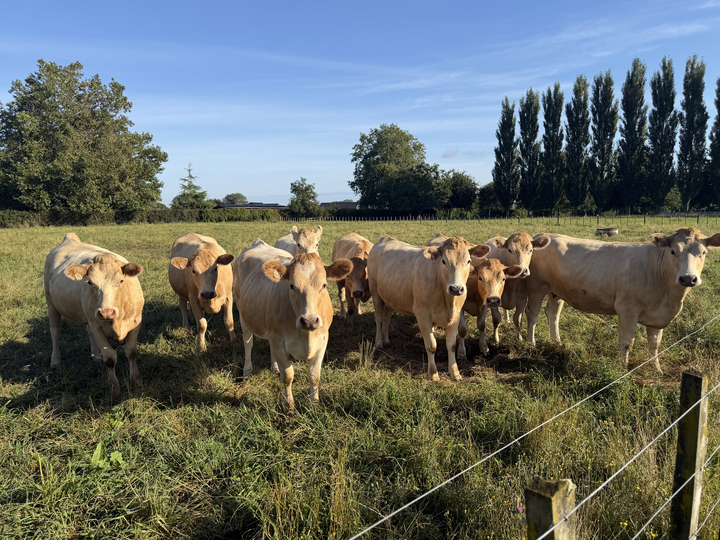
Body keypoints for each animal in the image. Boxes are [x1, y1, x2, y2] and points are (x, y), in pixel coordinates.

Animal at [44, 233, 144, 393]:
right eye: (90, 282)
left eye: (121, 281)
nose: (106, 312)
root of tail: (70, 239)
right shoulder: (97, 326)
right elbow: (110, 357)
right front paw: (114, 387)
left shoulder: (135, 322)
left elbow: (131, 352)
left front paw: (136, 381)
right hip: (51, 302)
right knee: (55, 332)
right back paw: (55, 361)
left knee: (87, 331)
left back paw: (96, 356)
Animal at [233, 239, 352, 410]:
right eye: (291, 286)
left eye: (324, 285)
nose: (309, 320)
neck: (306, 335)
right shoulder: (279, 341)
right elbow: (288, 375)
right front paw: (289, 405)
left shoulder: (323, 339)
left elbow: (314, 374)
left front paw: (314, 402)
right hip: (243, 315)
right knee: (248, 343)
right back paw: (247, 369)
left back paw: (274, 367)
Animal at [368, 235, 490, 381]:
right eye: (443, 261)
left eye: (468, 261)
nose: (456, 288)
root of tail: (385, 238)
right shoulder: (422, 315)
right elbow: (431, 345)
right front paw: (433, 374)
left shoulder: (455, 316)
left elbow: (451, 345)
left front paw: (455, 373)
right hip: (375, 292)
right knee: (378, 316)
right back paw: (379, 342)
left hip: (390, 296)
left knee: (386, 316)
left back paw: (386, 340)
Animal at [524, 228, 720, 372]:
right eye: (673, 251)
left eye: (703, 252)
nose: (688, 278)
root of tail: (543, 235)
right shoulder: (627, 309)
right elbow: (627, 343)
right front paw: (623, 369)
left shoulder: (658, 317)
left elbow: (655, 344)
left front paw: (656, 369)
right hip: (535, 286)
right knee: (532, 315)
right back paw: (531, 344)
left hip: (556, 291)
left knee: (553, 314)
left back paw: (557, 342)